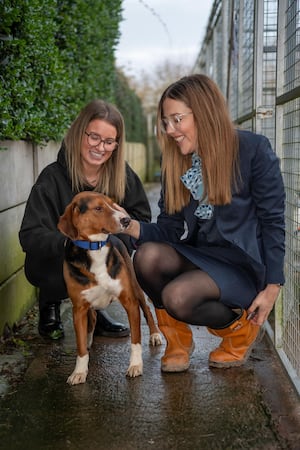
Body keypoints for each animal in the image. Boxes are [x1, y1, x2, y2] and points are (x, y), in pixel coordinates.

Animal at [57, 192, 163, 384]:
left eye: (113, 204)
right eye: (98, 208)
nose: (127, 220)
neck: (95, 248)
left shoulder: (129, 301)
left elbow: (135, 340)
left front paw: (135, 365)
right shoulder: (79, 309)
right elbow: (80, 346)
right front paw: (79, 371)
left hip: (136, 287)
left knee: (147, 310)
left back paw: (155, 335)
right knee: (92, 320)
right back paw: (89, 339)